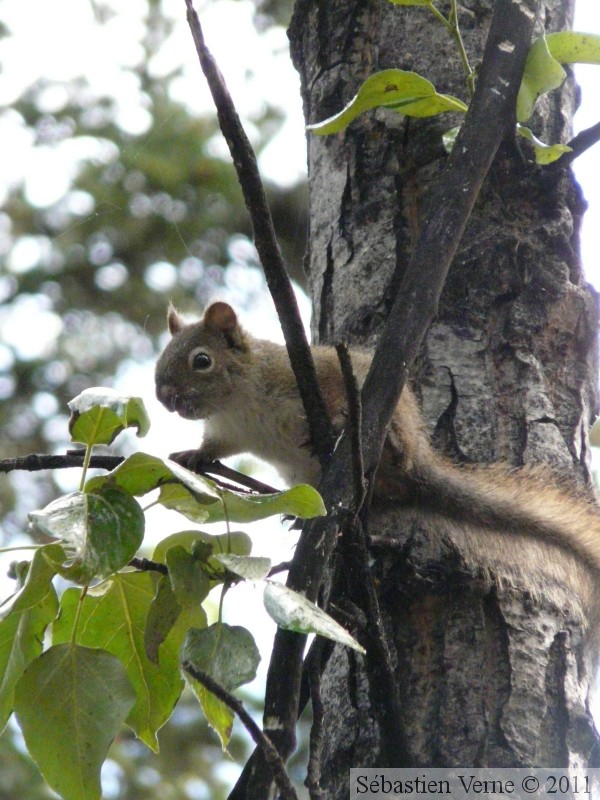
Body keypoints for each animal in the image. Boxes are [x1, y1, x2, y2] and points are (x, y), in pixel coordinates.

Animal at [156, 300, 600, 592]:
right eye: (162, 358)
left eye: (201, 360)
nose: (163, 396)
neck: (238, 400)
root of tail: (418, 466)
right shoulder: (230, 431)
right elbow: (216, 447)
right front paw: (193, 456)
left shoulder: (311, 372)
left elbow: (334, 385)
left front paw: (335, 419)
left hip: (395, 424)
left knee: (395, 448)